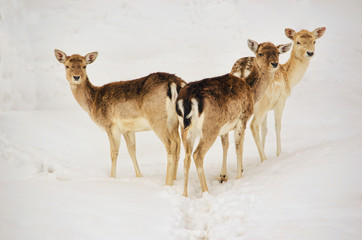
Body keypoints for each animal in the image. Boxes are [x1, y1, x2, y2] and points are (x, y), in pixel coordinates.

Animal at [54, 49, 185, 186]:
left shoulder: (110, 125)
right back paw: (175, 179)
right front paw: (139, 176)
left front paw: (112, 178)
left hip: (158, 119)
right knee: (178, 144)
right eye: (67, 66)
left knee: (170, 145)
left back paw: (167, 182)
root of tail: (176, 82)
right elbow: (132, 151)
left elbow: (113, 153)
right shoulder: (128, 129)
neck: (93, 102)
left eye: (84, 66)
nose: (76, 77)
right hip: (175, 122)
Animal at [175, 40, 292, 196]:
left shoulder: (225, 127)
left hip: (185, 128)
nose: (274, 63)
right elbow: (238, 147)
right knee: (197, 155)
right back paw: (206, 191)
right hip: (210, 127)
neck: (252, 91)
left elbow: (227, 145)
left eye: (277, 53)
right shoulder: (243, 117)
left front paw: (225, 175)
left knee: (186, 157)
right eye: (260, 53)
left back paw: (185, 194)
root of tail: (187, 100)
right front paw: (238, 177)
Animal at [219, 27, 326, 181]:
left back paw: (224, 174)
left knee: (228, 136)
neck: (289, 79)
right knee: (252, 126)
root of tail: (241, 71)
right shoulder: (280, 100)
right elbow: (277, 125)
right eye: (298, 42)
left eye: (314, 41)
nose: (310, 53)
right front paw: (277, 154)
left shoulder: (267, 108)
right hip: (259, 104)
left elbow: (265, 129)